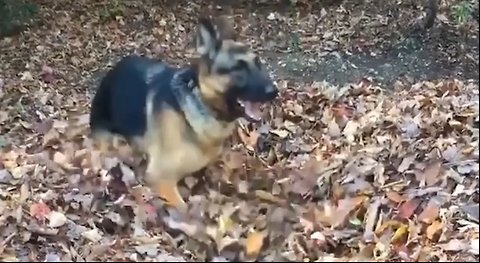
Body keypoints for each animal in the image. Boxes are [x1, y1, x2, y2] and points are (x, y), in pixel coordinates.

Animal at [88, 17, 280, 209]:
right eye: (238, 68)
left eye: (258, 63)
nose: (274, 91)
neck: (200, 102)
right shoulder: (162, 179)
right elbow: (184, 209)